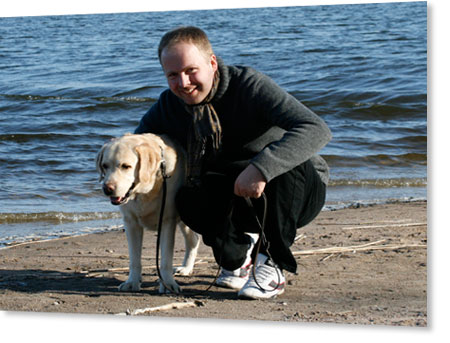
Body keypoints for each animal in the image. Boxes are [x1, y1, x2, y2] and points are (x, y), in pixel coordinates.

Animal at [96, 133, 199, 294]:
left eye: (126, 166)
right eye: (105, 165)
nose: (107, 189)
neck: (145, 190)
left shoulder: (167, 221)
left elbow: (165, 260)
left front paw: (168, 284)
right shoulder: (130, 222)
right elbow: (134, 259)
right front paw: (132, 282)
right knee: (193, 239)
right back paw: (186, 268)